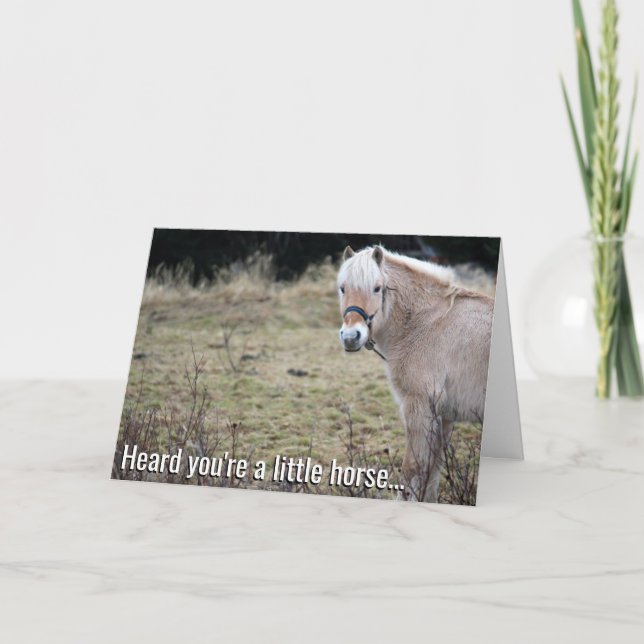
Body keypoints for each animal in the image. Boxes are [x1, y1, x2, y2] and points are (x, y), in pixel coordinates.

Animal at [337, 245, 494, 503]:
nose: (351, 337)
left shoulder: (420, 408)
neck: (426, 321)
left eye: (377, 288)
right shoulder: (443, 417)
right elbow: (433, 473)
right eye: (343, 288)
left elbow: (412, 469)